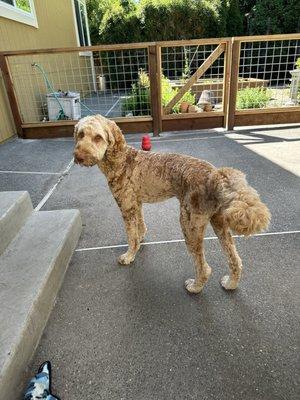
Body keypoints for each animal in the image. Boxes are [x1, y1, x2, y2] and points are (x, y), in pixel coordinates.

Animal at [74, 115, 270, 294]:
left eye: (98, 137)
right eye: (81, 134)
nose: (79, 157)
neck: (121, 159)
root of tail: (214, 175)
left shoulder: (126, 206)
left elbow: (131, 236)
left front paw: (129, 256)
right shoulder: (136, 204)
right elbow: (140, 226)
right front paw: (140, 239)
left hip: (189, 225)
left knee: (204, 267)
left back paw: (195, 287)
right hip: (219, 224)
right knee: (235, 260)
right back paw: (230, 283)